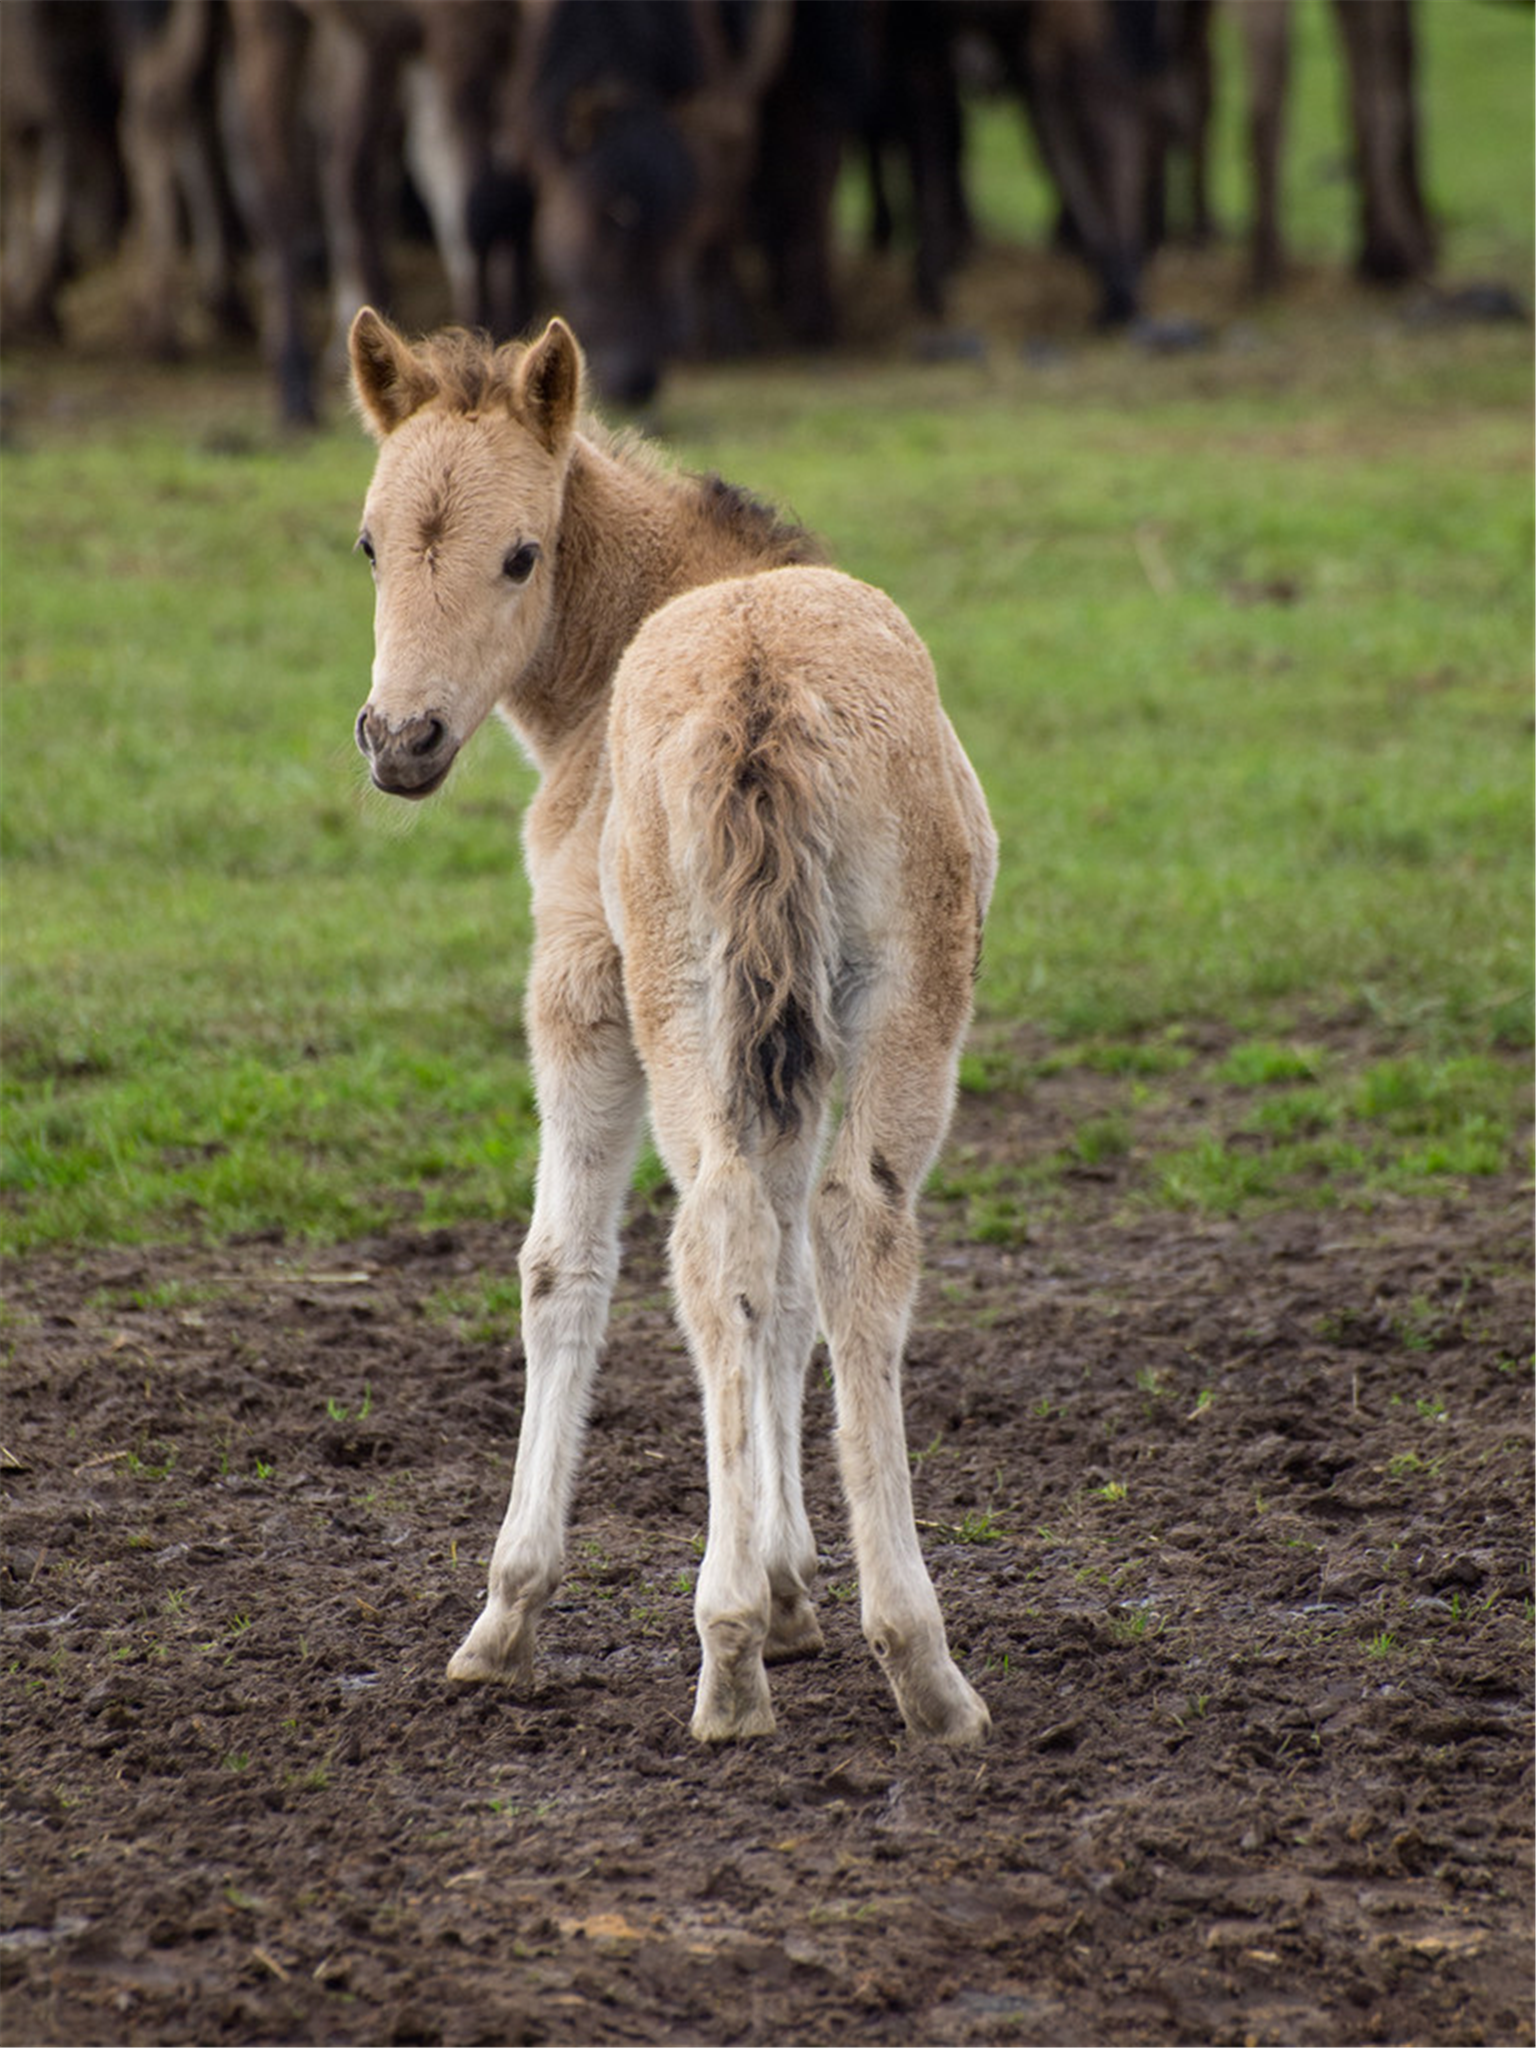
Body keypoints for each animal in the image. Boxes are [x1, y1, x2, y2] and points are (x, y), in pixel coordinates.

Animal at [348, 307, 999, 1744]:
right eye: (368, 541)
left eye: (521, 552)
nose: (401, 739)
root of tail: (764, 691)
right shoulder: (795, 1040)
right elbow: (791, 1288)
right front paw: (797, 1582)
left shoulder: (579, 986)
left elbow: (561, 1266)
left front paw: (510, 1611)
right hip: (894, 1006)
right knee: (844, 1241)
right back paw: (915, 1659)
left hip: (680, 999)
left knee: (705, 1249)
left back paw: (728, 1652)